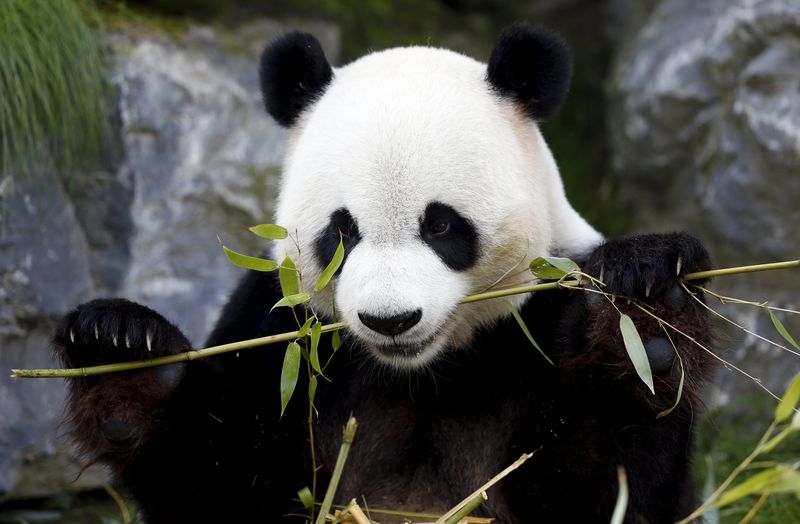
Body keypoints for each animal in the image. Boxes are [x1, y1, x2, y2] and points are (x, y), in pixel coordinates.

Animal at [54, 24, 712, 524]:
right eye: (342, 231)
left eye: (441, 226)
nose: (390, 320)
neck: (420, 374)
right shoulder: (280, 340)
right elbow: (222, 486)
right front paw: (121, 348)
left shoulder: (538, 319)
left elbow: (610, 489)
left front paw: (646, 308)